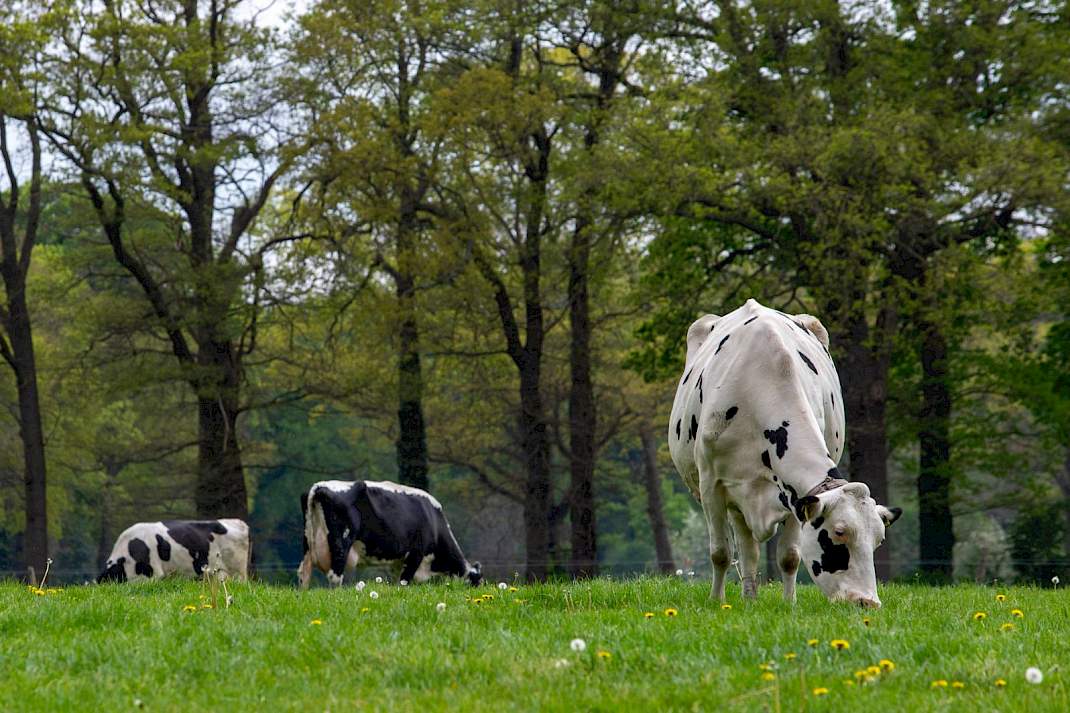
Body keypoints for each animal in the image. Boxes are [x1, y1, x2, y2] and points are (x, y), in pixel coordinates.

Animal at [297, 480, 482, 588]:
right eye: (477, 582)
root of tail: (319, 486)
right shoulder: (415, 554)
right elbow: (404, 581)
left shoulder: (398, 564)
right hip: (340, 543)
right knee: (335, 577)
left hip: (307, 543)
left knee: (303, 574)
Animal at [668, 299, 901, 608]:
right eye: (839, 533)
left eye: (878, 540)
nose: (867, 602)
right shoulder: (711, 486)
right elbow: (720, 552)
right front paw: (717, 602)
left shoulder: (793, 495)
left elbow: (789, 556)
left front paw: (789, 604)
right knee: (743, 548)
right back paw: (746, 598)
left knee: (749, 547)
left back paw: (750, 598)